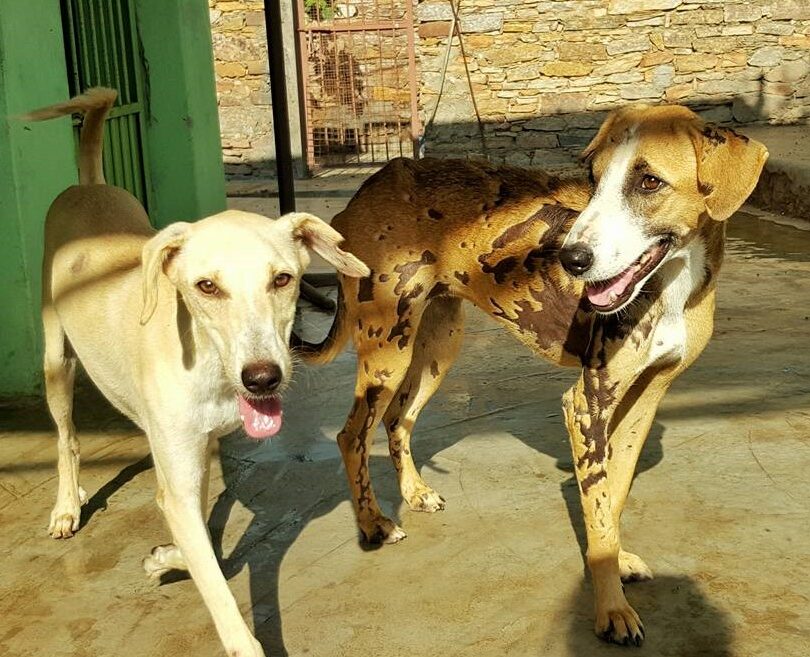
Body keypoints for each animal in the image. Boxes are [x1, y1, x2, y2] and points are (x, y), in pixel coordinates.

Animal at [28, 88, 368, 656]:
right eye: (206, 286)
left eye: (283, 279)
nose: (262, 378)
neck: (209, 367)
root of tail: (87, 186)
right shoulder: (182, 471)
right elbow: (221, 597)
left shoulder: (199, 453)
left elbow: (196, 535)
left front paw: (167, 558)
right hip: (57, 359)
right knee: (66, 437)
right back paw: (66, 506)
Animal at [296, 105, 764, 644]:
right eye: (593, 179)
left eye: (649, 181)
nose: (572, 259)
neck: (671, 284)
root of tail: (370, 183)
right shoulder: (586, 403)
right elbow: (599, 504)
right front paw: (610, 608)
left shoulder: (644, 399)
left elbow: (613, 496)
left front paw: (615, 558)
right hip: (386, 352)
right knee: (351, 435)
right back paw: (373, 523)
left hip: (437, 346)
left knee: (398, 419)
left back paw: (413, 493)